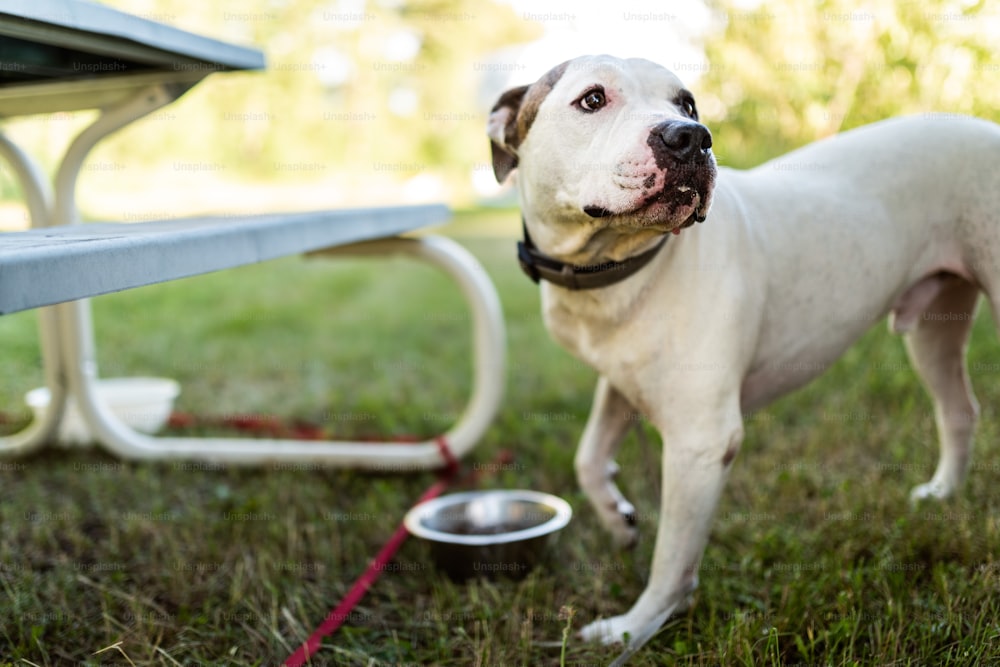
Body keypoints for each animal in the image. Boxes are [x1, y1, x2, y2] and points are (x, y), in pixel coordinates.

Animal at [488, 54, 996, 660]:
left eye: (686, 103)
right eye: (592, 99)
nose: (690, 136)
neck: (615, 267)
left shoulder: (700, 443)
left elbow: (671, 557)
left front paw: (635, 629)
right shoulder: (622, 381)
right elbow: (587, 458)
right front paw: (617, 520)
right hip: (933, 330)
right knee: (958, 410)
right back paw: (943, 493)